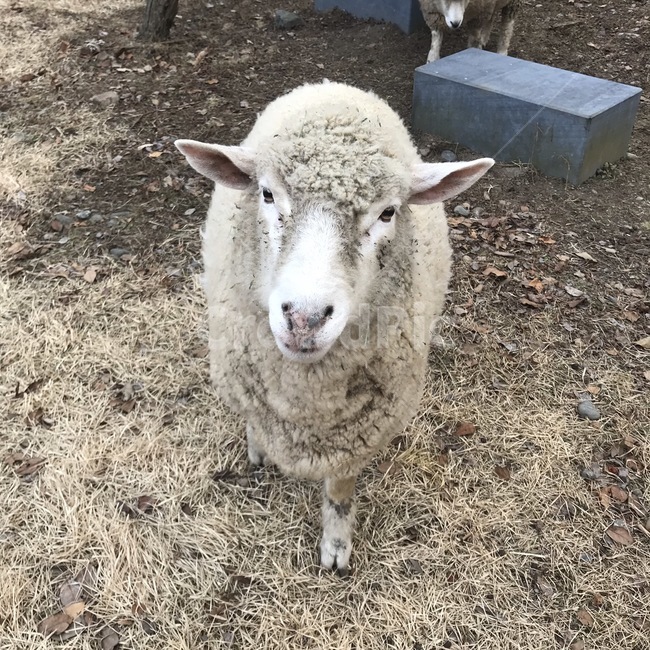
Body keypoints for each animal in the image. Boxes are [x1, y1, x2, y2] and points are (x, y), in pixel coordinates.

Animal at [175, 81, 493, 573]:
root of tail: (332, 87)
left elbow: (341, 490)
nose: (304, 318)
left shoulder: (359, 435)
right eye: (267, 194)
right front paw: (256, 446)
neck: (308, 402)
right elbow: (254, 415)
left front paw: (337, 546)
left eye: (388, 213)